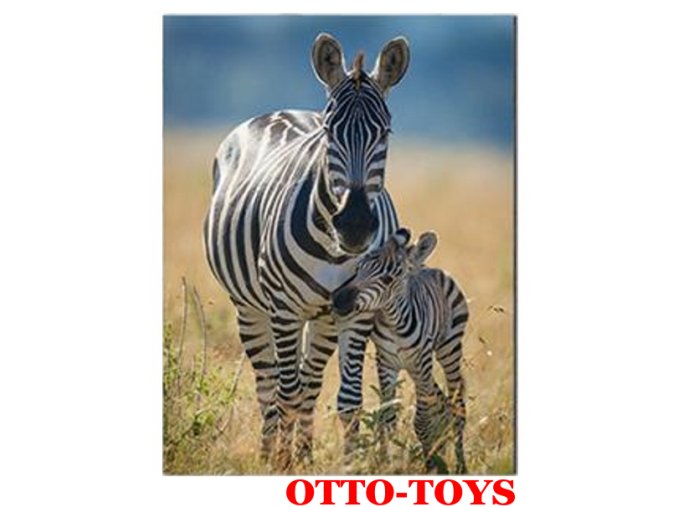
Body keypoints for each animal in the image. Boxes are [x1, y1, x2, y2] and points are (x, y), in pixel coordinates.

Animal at [203, 33, 410, 468]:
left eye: (386, 132)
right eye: (330, 132)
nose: (355, 225)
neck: (335, 251)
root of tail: (280, 111)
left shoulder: (357, 310)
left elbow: (347, 399)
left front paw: (349, 465)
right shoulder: (283, 308)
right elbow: (285, 393)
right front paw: (281, 464)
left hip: (324, 316)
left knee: (309, 383)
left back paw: (304, 455)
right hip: (251, 307)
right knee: (270, 385)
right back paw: (271, 455)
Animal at [331, 228, 469, 473]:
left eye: (387, 279)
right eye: (358, 268)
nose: (338, 300)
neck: (394, 323)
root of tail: (431, 268)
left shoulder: (422, 362)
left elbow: (422, 421)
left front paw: (428, 465)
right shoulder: (386, 362)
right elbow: (387, 416)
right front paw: (389, 463)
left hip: (449, 349)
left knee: (456, 406)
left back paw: (461, 466)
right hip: (415, 367)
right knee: (442, 403)